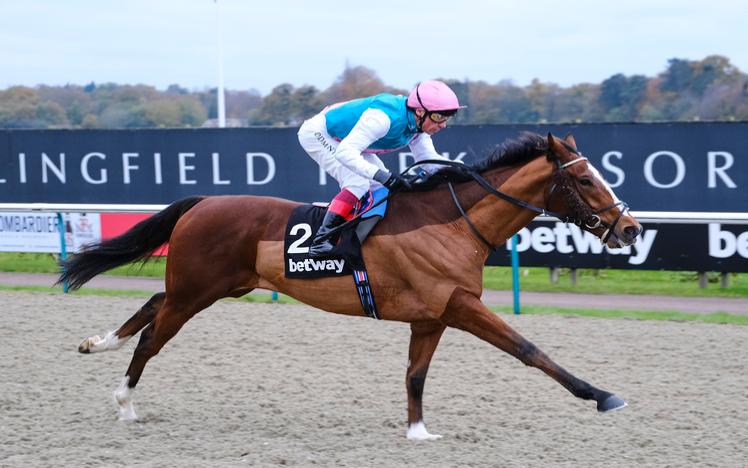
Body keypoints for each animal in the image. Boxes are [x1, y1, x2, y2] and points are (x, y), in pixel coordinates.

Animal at [60, 132, 642, 441]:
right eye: (585, 179)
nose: (631, 229)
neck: (454, 222)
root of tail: (202, 202)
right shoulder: (460, 305)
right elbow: (529, 349)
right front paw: (602, 395)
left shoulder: (432, 315)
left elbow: (415, 375)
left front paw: (417, 431)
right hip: (197, 290)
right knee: (154, 334)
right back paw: (125, 400)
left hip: (213, 286)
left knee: (153, 304)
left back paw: (97, 344)